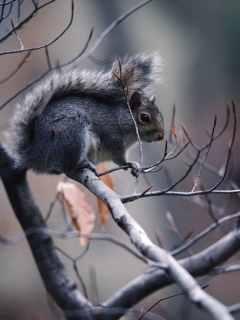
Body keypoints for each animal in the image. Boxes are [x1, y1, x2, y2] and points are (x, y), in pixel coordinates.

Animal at [5, 52, 164, 178]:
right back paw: (81, 165)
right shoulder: (112, 136)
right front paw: (129, 162)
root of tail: (37, 154)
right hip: (72, 134)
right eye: (144, 117)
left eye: (161, 116)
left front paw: (133, 166)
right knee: (67, 165)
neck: (121, 119)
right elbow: (119, 158)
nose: (161, 137)